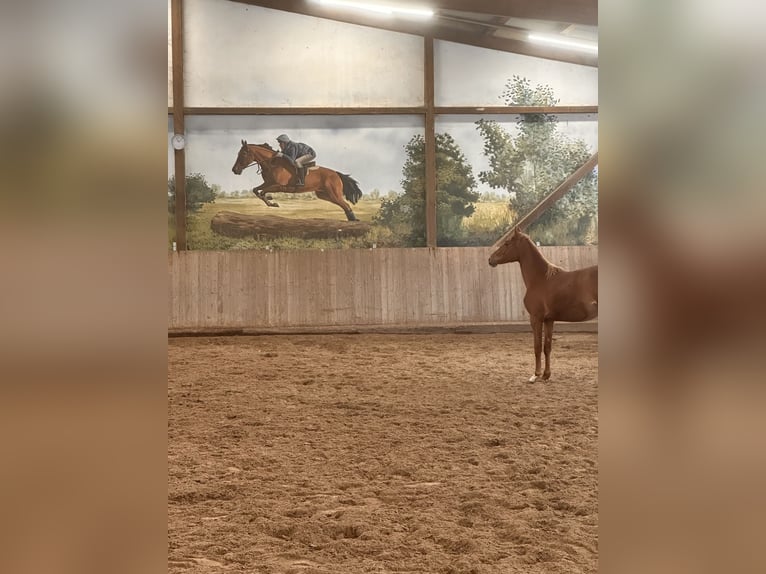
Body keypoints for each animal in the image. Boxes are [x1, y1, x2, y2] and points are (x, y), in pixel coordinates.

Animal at [231, 140, 363, 221]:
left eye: (243, 153)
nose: (234, 170)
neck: (272, 163)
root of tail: (336, 174)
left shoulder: (279, 186)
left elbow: (263, 192)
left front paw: (272, 201)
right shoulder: (268, 183)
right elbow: (256, 190)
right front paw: (270, 201)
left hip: (333, 194)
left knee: (345, 204)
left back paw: (353, 219)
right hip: (324, 195)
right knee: (344, 205)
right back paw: (352, 219)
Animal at [488, 227, 598, 382]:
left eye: (507, 243)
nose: (490, 259)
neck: (541, 279)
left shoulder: (536, 318)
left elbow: (537, 346)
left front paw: (535, 374)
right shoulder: (548, 320)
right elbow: (547, 347)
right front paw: (546, 375)